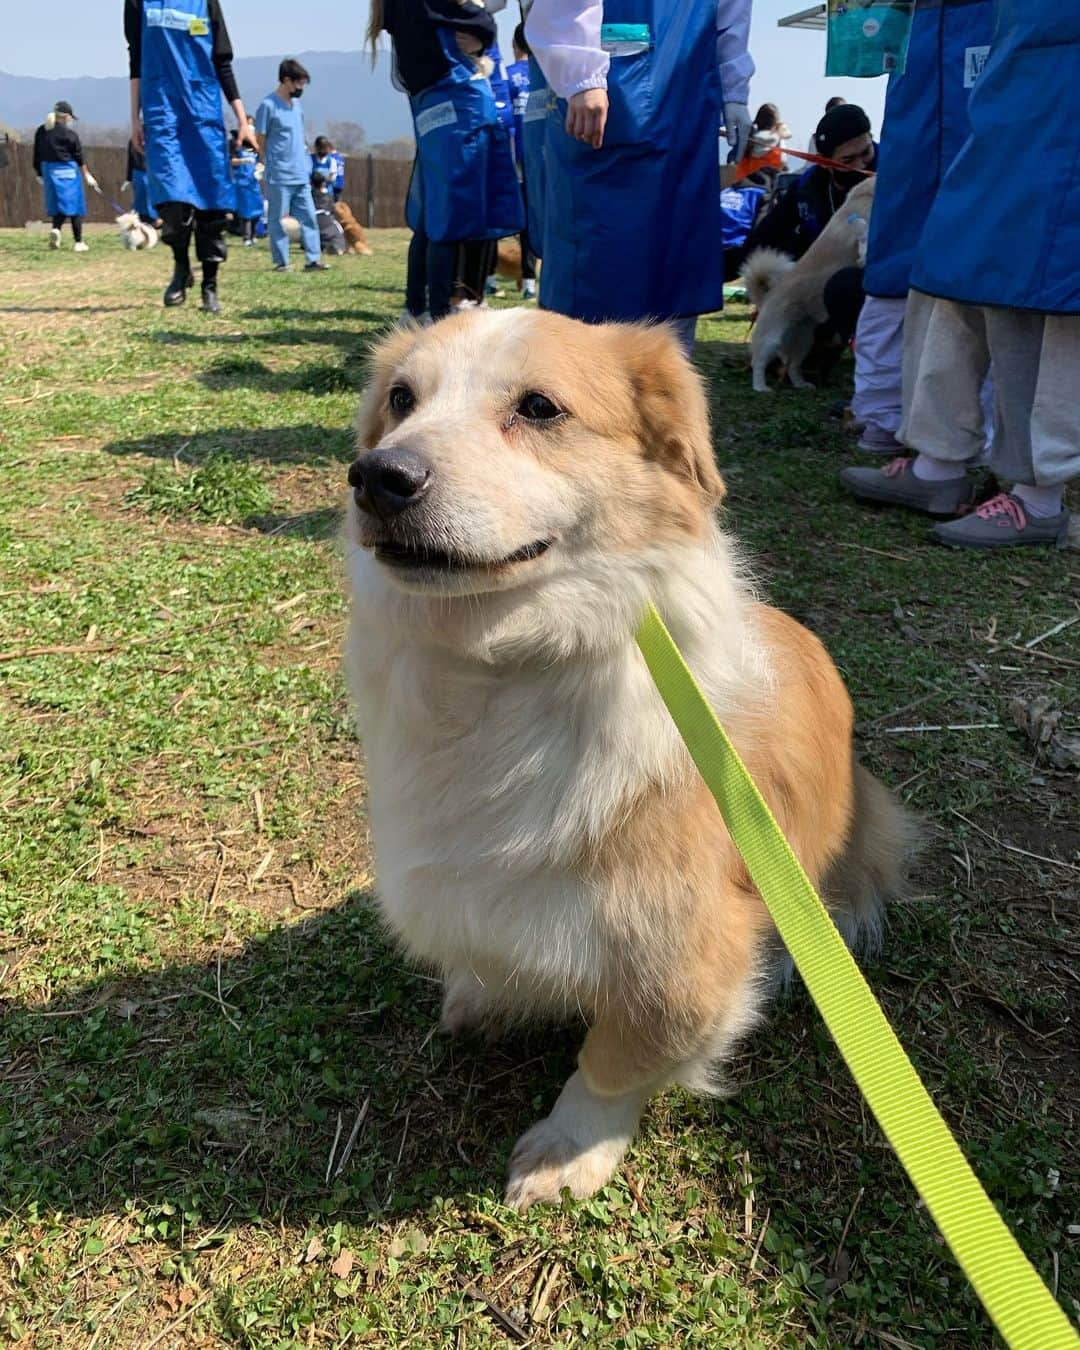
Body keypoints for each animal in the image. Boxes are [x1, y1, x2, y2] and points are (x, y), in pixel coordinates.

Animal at [345, 309, 912, 1215]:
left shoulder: (680, 957)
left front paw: (569, 1148)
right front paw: (490, 994)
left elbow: (614, 1063)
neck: (506, 665)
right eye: (400, 399)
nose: (376, 477)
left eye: (540, 408)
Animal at [739, 176, 874, 394]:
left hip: (804, 341)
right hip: (771, 337)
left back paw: (802, 384)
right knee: (758, 361)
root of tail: (767, 296)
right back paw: (760, 387)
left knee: (793, 365)